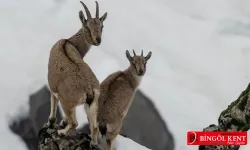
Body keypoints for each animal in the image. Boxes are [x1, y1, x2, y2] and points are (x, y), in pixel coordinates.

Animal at [47, 0, 107, 146]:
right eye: (87, 27)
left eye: (101, 26)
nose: (97, 40)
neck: (69, 42)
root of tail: (89, 90)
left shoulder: (53, 89)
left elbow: (53, 104)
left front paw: (51, 122)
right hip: (92, 105)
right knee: (94, 126)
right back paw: (93, 143)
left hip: (67, 102)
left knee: (75, 123)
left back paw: (61, 132)